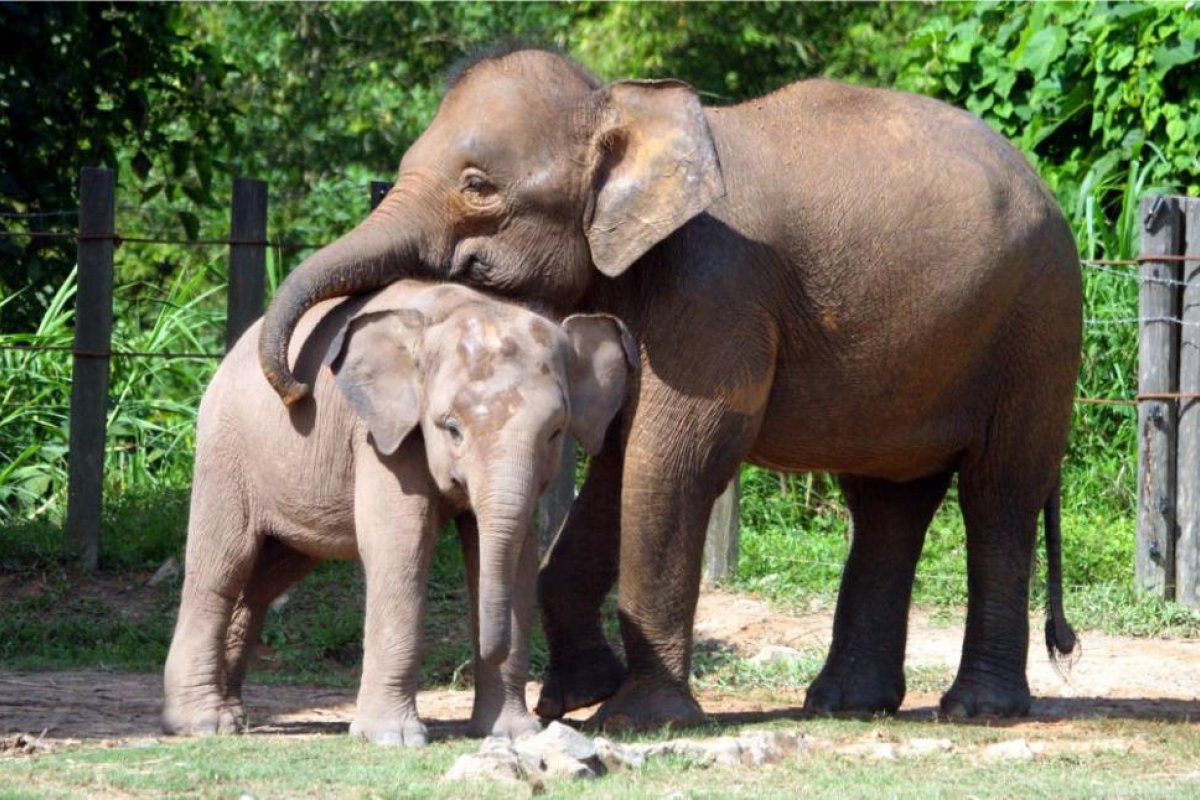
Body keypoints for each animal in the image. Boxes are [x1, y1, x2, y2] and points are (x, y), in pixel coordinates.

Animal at [162, 279, 636, 743]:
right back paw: (203, 725)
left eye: (555, 432)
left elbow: (514, 558)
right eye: (451, 429)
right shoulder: (381, 437)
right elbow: (400, 545)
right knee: (224, 564)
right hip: (226, 448)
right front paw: (394, 738)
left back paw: (233, 714)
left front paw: (513, 735)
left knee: (269, 575)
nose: (490, 649)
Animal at [255, 47, 1081, 729]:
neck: (622, 104)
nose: (294, 390)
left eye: (478, 186)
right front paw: (575, 699)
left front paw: (637, 719)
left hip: (1037, 326)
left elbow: (673, 460)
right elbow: (620, 463)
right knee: (887, 504)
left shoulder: (715, 287)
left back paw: (976, 710)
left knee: (998, 492)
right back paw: (846, 705)